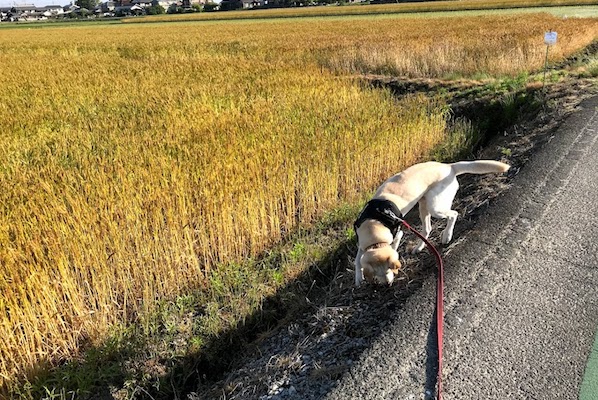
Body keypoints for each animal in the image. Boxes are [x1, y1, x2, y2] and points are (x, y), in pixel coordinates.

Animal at [356, 159, 510, 284]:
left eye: (389, 269)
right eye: (377, 273)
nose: (387, 284)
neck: (373, 223)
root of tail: (448, 166)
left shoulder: (398, 234)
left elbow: (393, 247)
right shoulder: (361, 244)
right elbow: (357, 260)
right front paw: (358, 279)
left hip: (434, 206)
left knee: (453, 214)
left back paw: (447, 236)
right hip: (423, 204)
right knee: (427, 229)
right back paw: (419, 247)